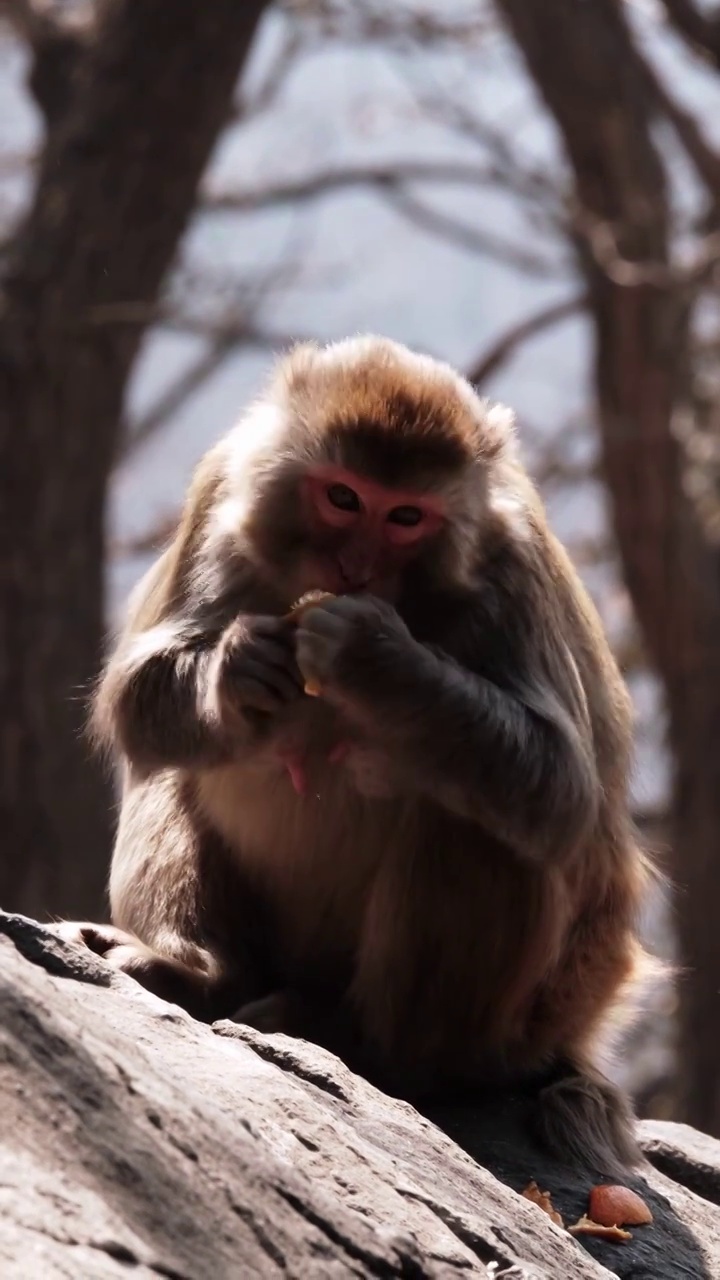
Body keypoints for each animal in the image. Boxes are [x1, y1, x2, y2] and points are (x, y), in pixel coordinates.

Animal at [57, 335, 650, 1172]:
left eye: (405, 516)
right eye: (342, 498)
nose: (354, 571)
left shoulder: (513, 570)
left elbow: (561, 792)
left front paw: (374, 659)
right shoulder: (221, 485)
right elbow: (137, 699)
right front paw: (237, 669)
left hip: (527, 1015)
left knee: (475, 820)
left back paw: (373, 1049)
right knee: (182, 763)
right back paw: (200, 974)